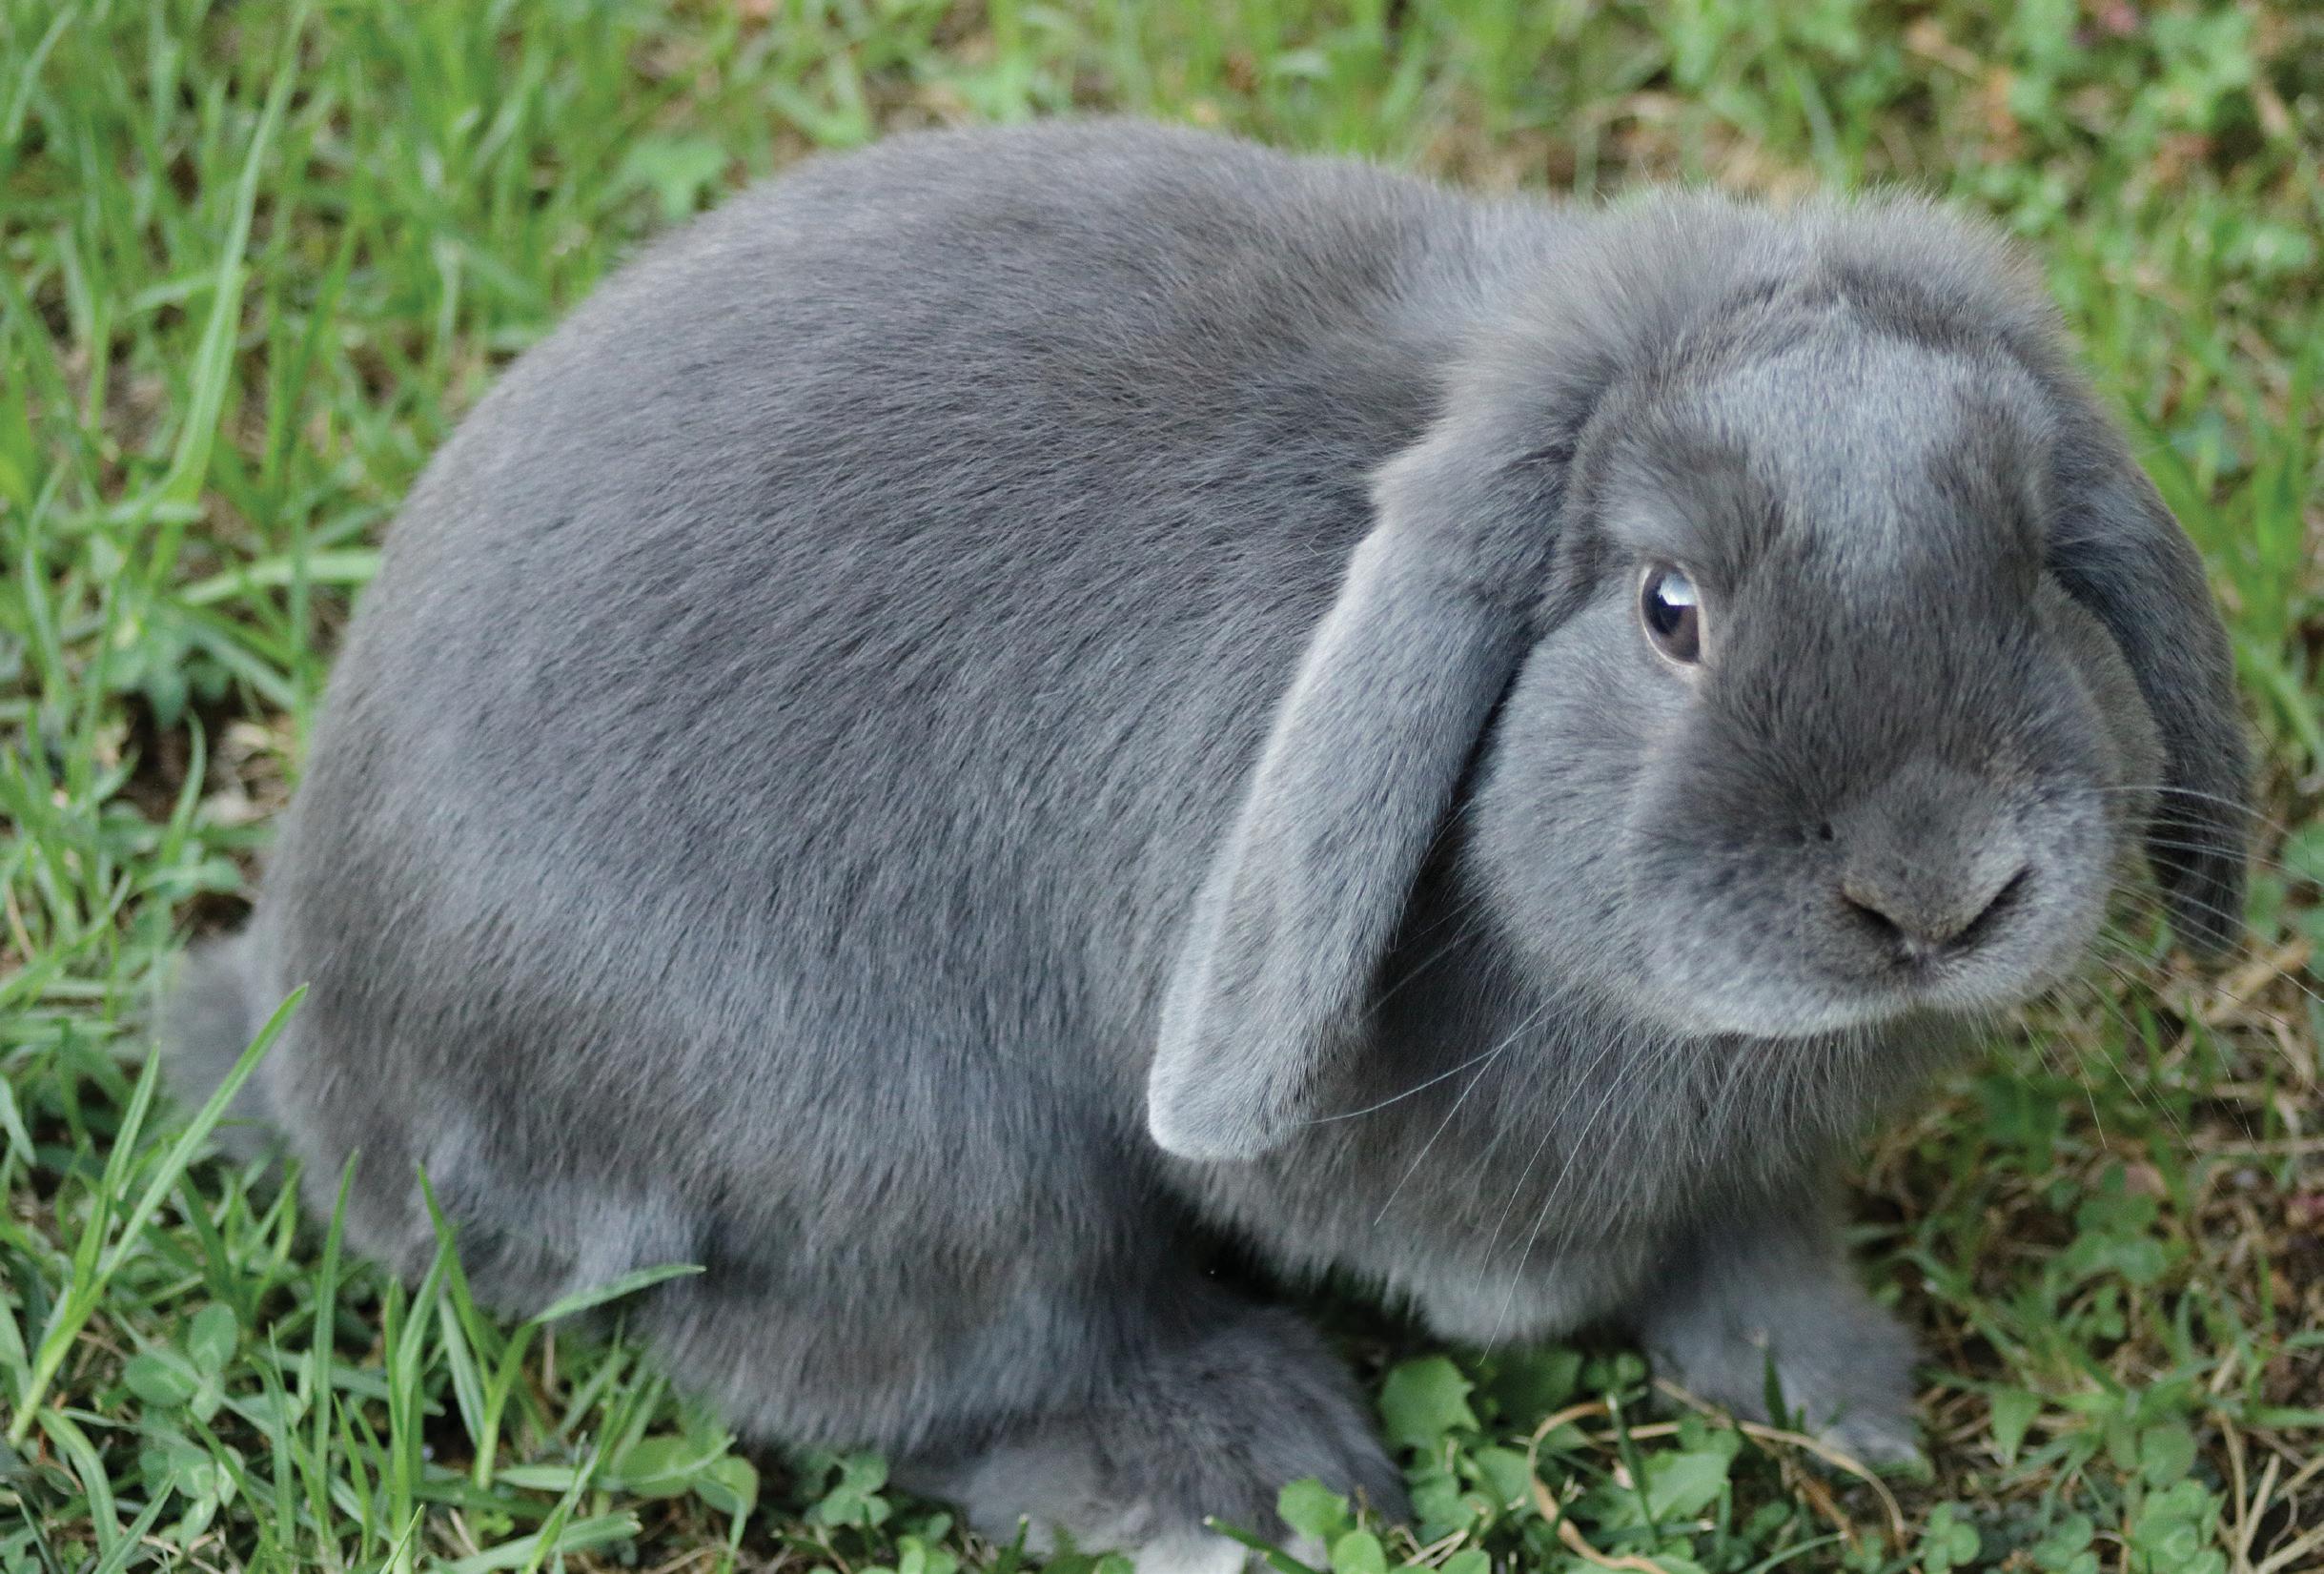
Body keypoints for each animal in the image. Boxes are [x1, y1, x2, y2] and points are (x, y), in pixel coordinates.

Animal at [165, 119, 2248, 1566]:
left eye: (2030, 562)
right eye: (1670, 609)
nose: (1935, 885)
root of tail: (315, 1034)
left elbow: (1750, 1245)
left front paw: (1838, 1392)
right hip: (919, 1164)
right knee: (908, 1373)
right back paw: (1243, 1476)